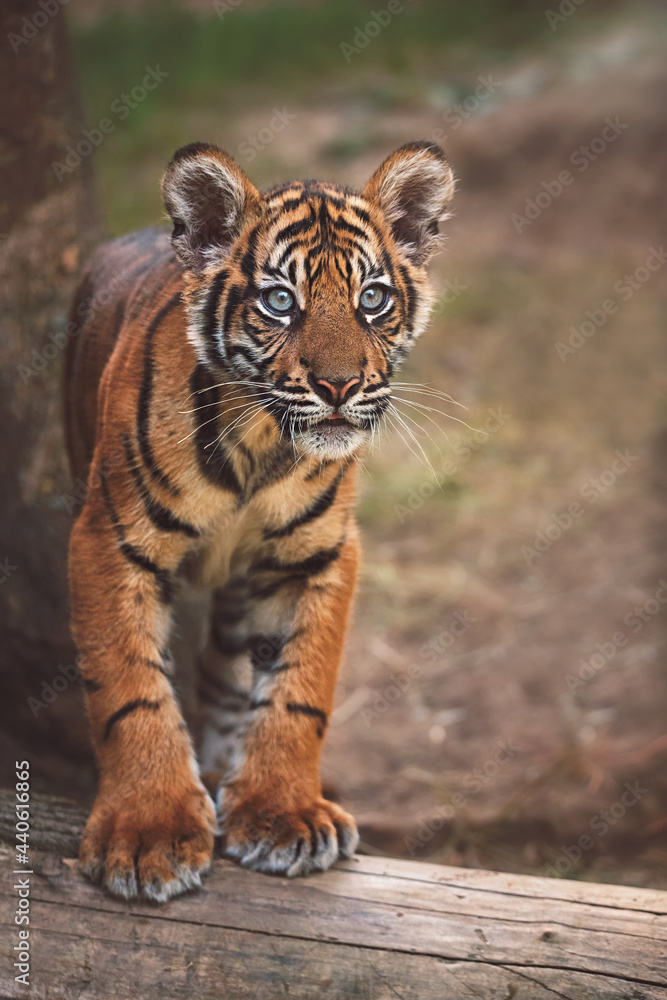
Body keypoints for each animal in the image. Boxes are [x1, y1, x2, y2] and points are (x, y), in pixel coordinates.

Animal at [64, 139, 455, 902]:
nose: (339, 386)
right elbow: (129, 688)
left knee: (223, 674)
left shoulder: (317, 553)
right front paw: (146, 830)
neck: (259, 442)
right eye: (279, 301)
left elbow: (298, 691)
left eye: (372, 300)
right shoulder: (108, 542)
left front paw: (281, 813)